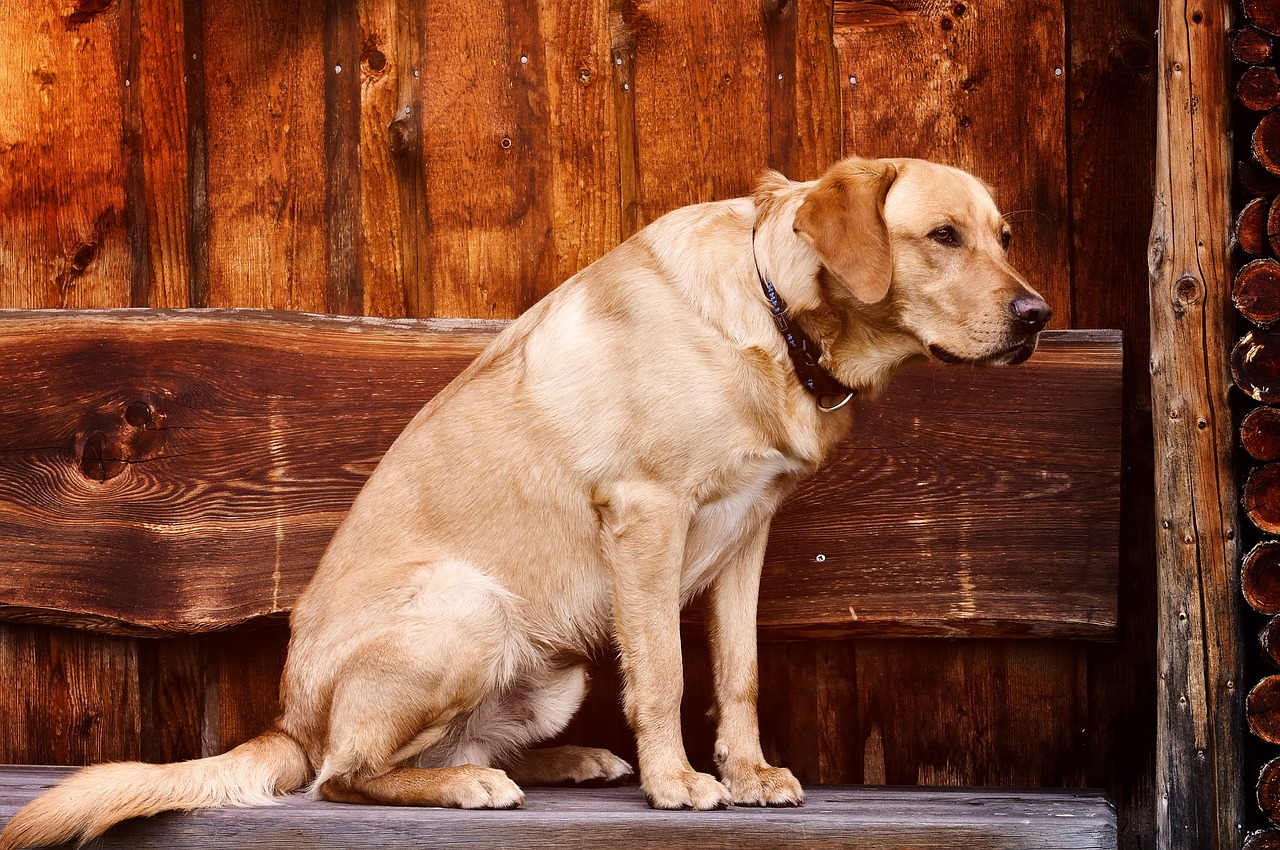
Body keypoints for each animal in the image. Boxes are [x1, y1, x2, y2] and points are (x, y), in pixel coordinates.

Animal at [0, 156, 1049, 844]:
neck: (774, 313)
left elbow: (739, 674)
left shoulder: (746, 536)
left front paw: (748, 773)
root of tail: (287, 721)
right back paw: (471, 785)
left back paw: (555, 762)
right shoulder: (648, 517)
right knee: (346, 776)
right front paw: (678, 785)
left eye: (1004, 237)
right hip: (469, 609)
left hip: (553, 668)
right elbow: (667, 675)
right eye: (942, 237)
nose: (1037, 316)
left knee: (438, 750)